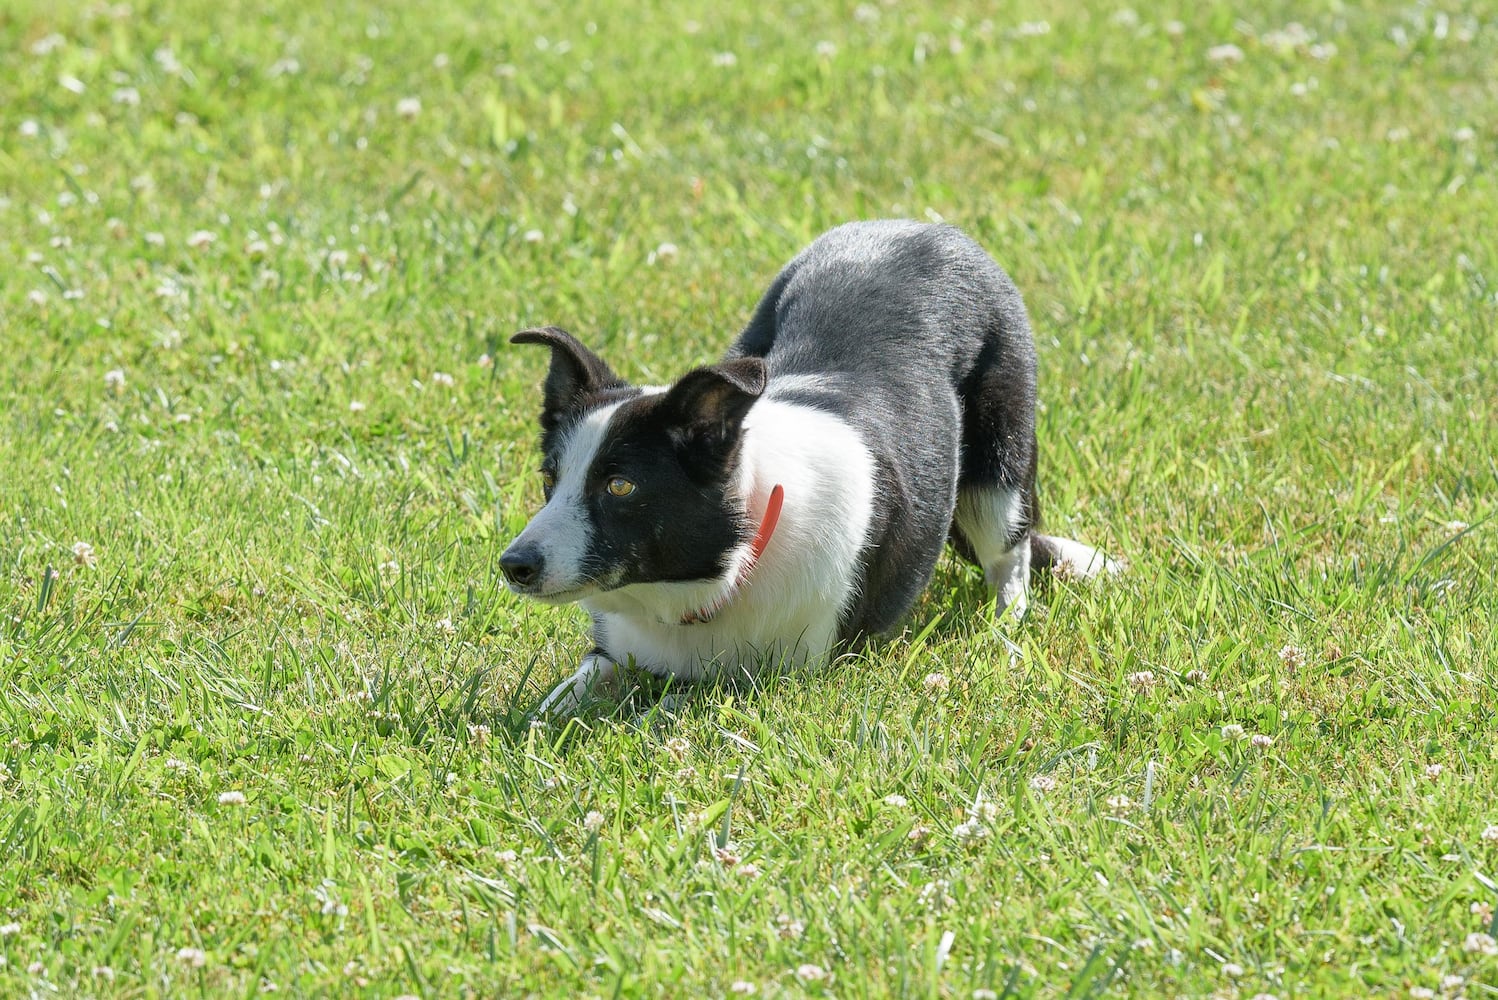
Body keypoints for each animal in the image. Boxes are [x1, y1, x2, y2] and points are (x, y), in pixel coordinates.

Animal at [500, 223, 1114, 715]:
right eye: (550, 482)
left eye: (620, 485)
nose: (513, 566)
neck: (725, 570)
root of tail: (932, 229)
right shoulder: (613, 650)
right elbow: (563, 697)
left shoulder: (789, 671)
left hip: (998, 469)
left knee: (1009, 557)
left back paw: (1003, 629)